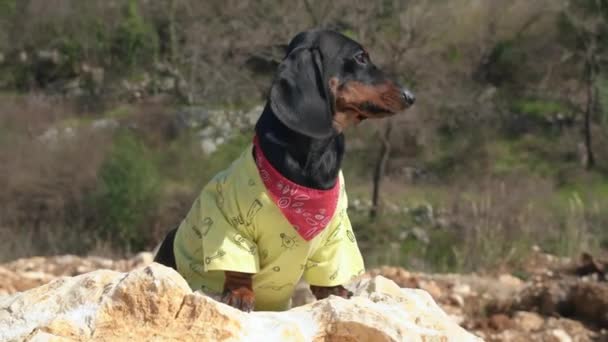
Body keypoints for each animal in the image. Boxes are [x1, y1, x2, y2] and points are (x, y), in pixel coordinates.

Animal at [154, 30, 416, 312]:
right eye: (360, 57)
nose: (411, 96)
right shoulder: (231, 224)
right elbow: (239, 269)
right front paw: (240, 293)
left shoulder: (336, 233)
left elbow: (329, 270)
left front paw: (335, 291)